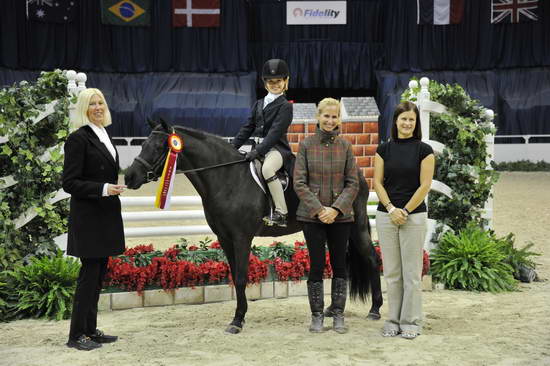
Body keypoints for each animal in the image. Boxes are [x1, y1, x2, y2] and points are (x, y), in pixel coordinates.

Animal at [125, 118, 384, 334]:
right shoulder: (225, 238)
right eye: (143, 144)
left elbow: (241, 277)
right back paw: (331, 309)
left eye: (159, 147)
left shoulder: (241, 237)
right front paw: (238, 316)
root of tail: (357, 175)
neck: (227, 178)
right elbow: (234, 276)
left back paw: (375, 309)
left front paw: (237, 321)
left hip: (355, 226)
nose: (128, 177)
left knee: (372, 258)